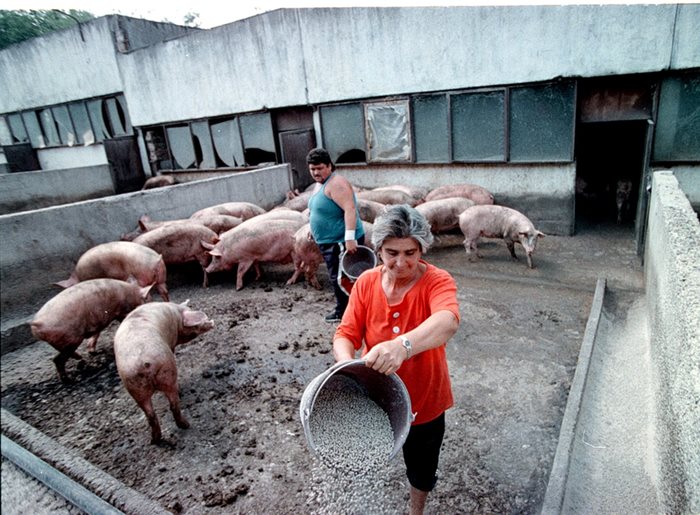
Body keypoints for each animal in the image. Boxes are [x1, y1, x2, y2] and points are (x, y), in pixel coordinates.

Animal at [113, 302, 213, 444]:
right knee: (174, 404)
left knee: (150, 415)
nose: (212, 323)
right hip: (167, 368)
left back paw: (154, 440)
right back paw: (186, 424)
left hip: (133, 385)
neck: (176, 314)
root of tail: (144, 361)